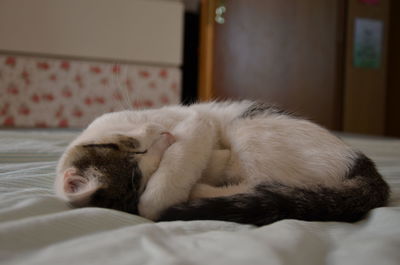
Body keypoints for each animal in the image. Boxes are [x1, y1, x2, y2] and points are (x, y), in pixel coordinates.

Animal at [54, 101, 390, 225]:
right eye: (138, 178)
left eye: (136, 151)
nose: (164, 138)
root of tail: (365, 165)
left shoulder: (195, 122)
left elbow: (156, 198)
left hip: (249, 128)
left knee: (262, 182)